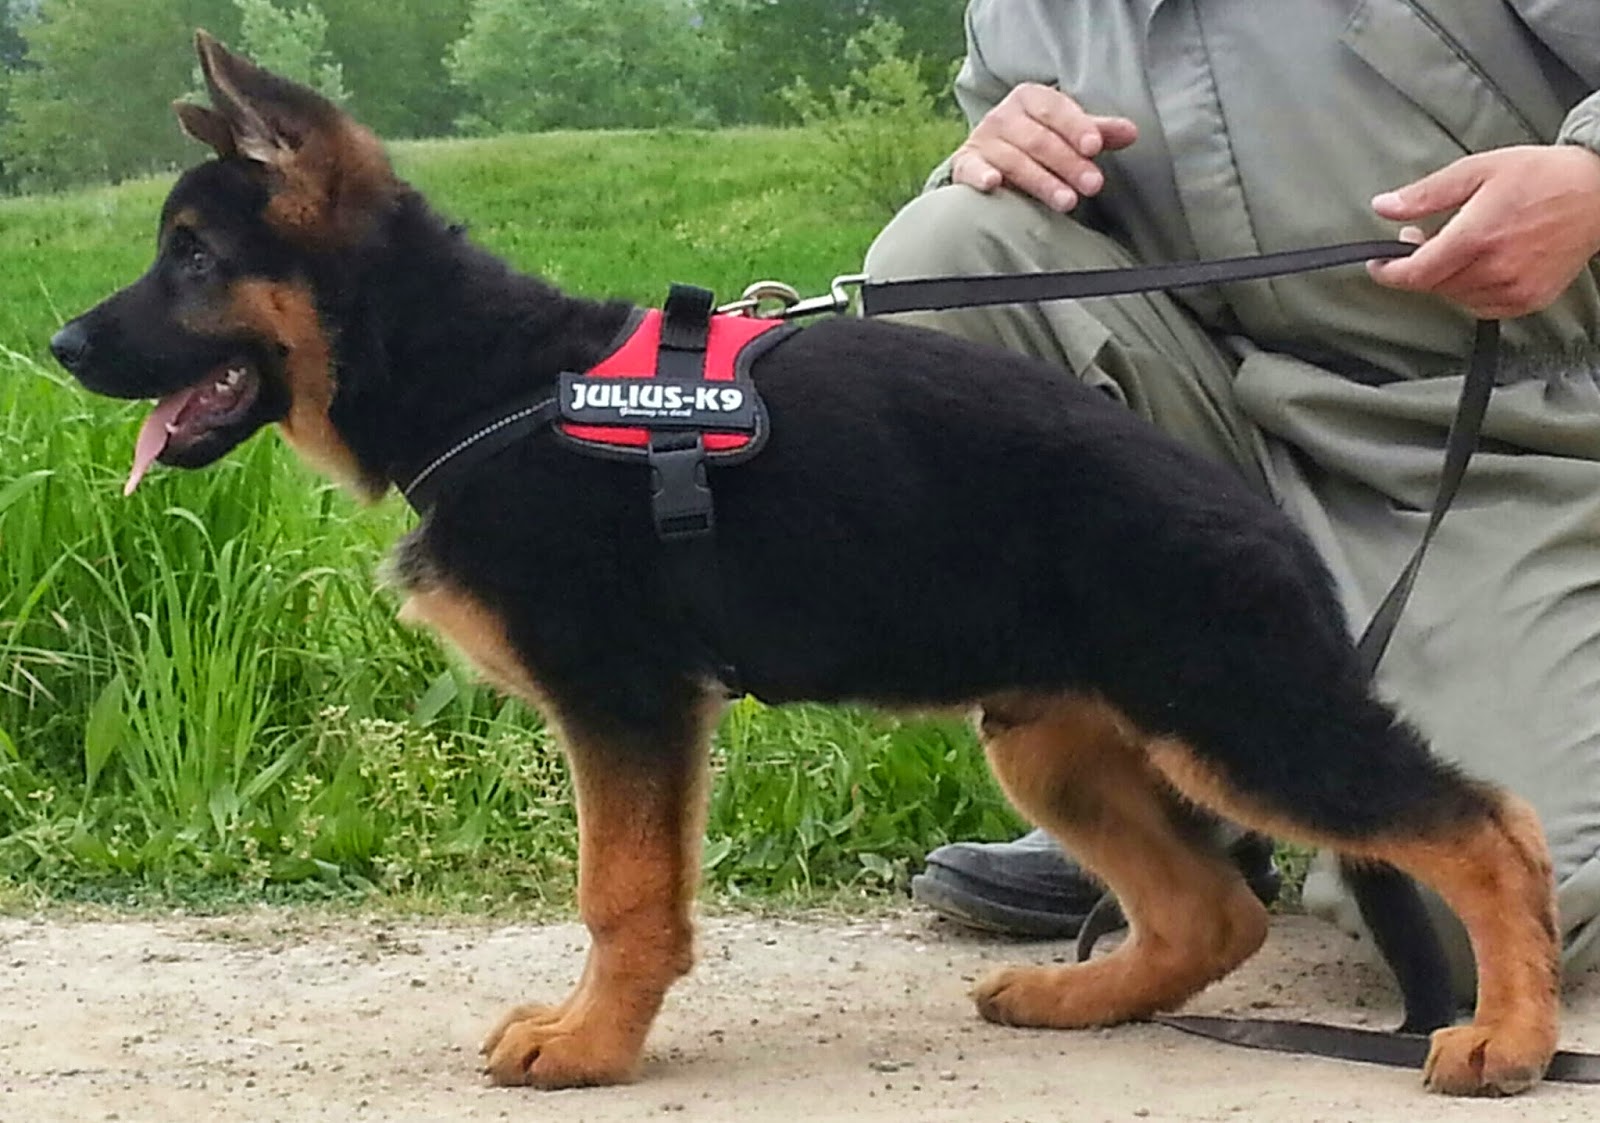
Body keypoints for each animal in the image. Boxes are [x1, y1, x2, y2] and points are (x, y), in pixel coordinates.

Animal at [53, 35, 1561, 1100]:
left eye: (194, 257)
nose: (63, 346)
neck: (492, 377)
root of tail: (1256, 517)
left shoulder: (626, 701)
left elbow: (621, 894)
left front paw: (592, 1044)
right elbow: (629, 892)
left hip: (1237, 715)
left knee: (1491, 825)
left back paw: (1510, 1035)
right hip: (1057, 738)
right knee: (1213, 912)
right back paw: (1078, 999)